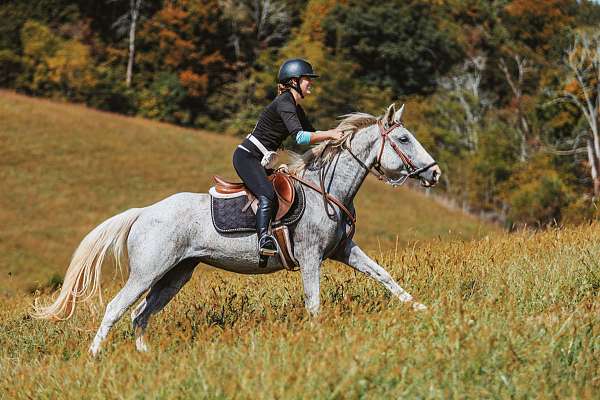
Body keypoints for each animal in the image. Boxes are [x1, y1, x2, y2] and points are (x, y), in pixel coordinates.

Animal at [35, 104, 442, 356]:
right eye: (403, 139)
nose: (435, 173)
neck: (326, 188)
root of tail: (144, 212)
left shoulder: (343, 250)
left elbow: (385, 276)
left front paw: (421, 308)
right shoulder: (311, 257)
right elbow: (313, 303)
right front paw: (318, 337)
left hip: (175, 274)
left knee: (141, 315)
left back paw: (145, 357)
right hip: (148, 271)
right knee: (115, 308)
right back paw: (94, 356)